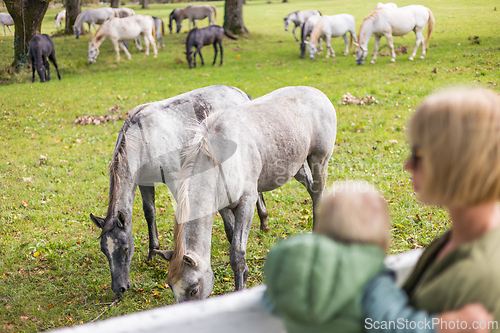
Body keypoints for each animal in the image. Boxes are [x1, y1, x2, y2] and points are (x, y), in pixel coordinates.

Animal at [88, 85, 272, 296]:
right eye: (105, 250)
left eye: (125, 248)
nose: (119, 288)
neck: (144, 139)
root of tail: (240, 93)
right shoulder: (145, 182)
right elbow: (149, 213)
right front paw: (152, 253)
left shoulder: (175, 178)